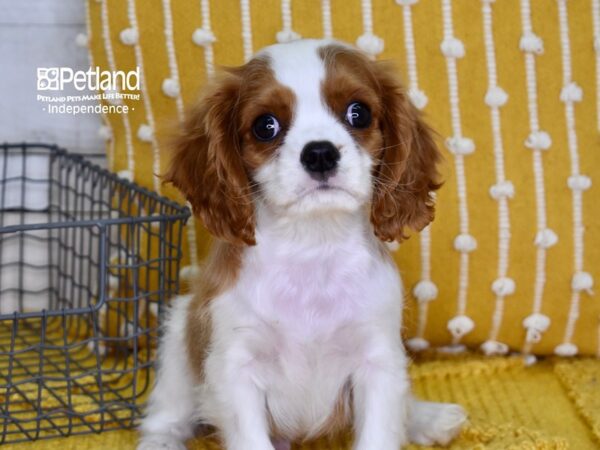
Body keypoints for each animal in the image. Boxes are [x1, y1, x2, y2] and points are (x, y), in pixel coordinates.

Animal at [138, 39, 466, 450]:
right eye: (266, 126)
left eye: (358, 113)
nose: (320, 152)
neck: (312, 246)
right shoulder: (235, 368)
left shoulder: (378, 360)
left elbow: (380, 428)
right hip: (179, 336)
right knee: (166, 416)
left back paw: (428, 418)